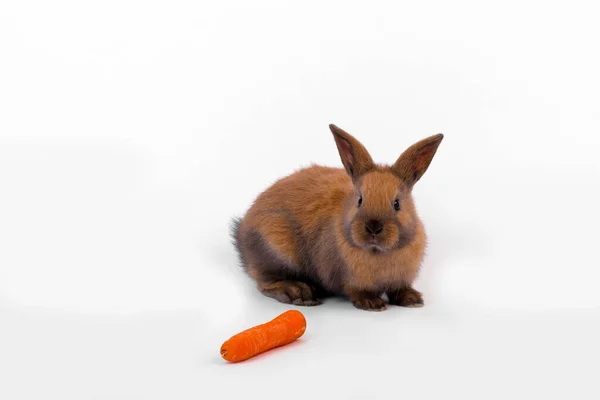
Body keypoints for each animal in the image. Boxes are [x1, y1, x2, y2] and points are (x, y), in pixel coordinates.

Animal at [232, 123, 442, 310]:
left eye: (397, 203)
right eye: (360, 200)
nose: (373, 227)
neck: (378, 252)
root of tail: (241, 233)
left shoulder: (400, 279)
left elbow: (399, 289)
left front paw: (413, 300)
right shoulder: (347, 279)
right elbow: (355, 291)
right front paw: (371, 303)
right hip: (275, 250)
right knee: (265, 282)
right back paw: (299, 292)